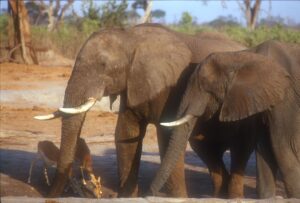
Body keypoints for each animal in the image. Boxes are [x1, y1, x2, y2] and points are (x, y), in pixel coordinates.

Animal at [35, 23, 244, 197]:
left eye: (103, 65)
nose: (50, 196)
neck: (131, 37)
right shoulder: (132, 84)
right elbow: (126, 133)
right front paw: (128, 197)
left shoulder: (174, 86)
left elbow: (168, 138)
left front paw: (179, 198)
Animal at [151, 40, 300, 198]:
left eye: (207, 90)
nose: (151, 192)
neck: (240, 57)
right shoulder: (262, 99)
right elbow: (263, 148)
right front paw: (268, 197)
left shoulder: (286, 98)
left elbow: (284, 147)